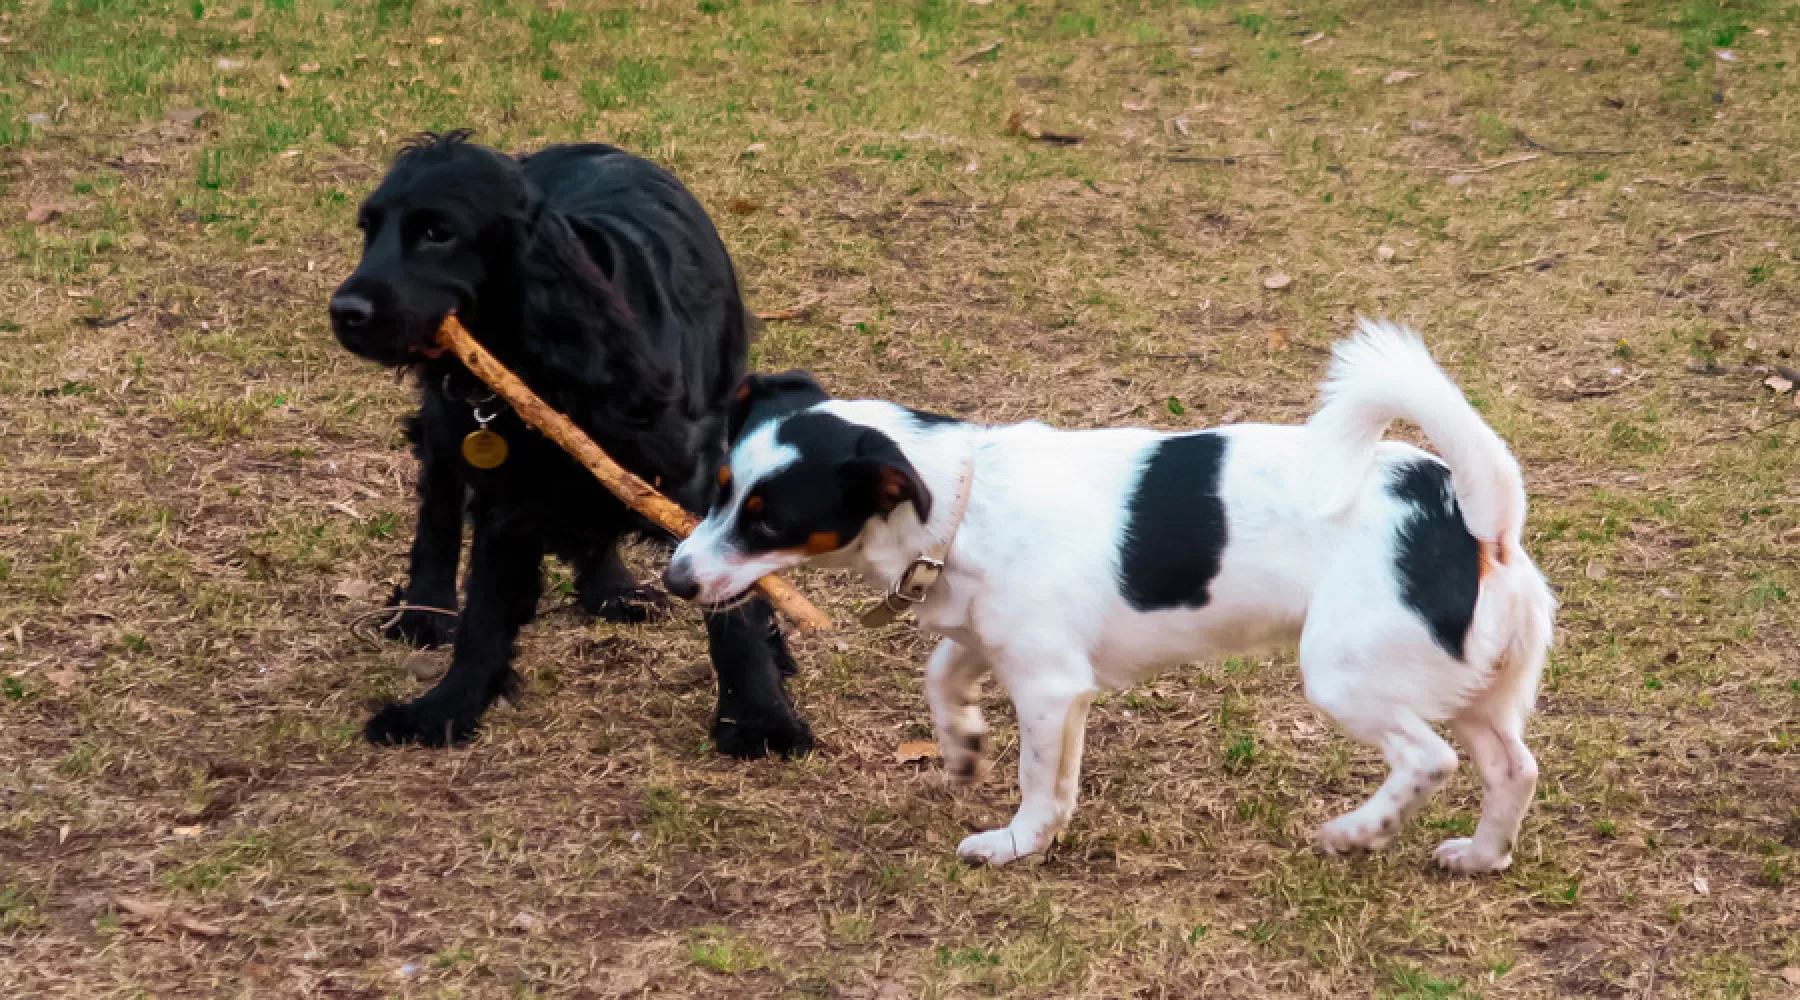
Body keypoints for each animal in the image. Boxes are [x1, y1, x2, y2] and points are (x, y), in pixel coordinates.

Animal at [329, 133, 817, 758]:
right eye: (368, 230)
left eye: (439, 232)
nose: (344, 312)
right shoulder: (509, 494)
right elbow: (484, 613)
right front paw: (445, 708)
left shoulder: (699, 480)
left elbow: (735, 606)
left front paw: (759, 717)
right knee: (438, 504)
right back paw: (428, 610)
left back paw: (612, 591)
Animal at [669, 320, 1555, 866]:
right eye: (719, 492)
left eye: (767, 519)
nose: (676, 579)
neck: (963, 500)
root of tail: (1474, 517)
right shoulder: (1019, 658)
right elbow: (947, 679)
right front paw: (962, 745)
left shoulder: (1049, 686)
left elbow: (1037, 779)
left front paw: (1014, 845)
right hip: (1476, 688)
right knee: (1514, 767)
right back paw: (1481, 856)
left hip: (1347, 678)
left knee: (1429, 758)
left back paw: (1357, 831)